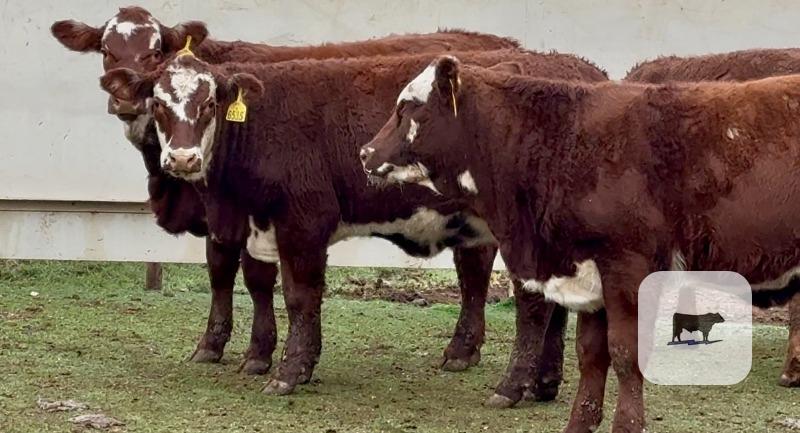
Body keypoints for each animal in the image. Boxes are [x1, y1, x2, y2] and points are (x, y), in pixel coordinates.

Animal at [51, 6, 521, 376]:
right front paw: (221, 346)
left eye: (154, 50)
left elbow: (252, 278)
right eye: (106, 50)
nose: (126, 102)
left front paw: (250, 352)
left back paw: (460, 350)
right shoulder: (229, 216)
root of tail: (506, 46)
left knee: (475, 270)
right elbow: (226, 273)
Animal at [98, 48, 608, 397]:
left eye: (208, 105)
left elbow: (300, 296)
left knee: (533, 304)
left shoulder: (303, 222)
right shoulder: (255, 225)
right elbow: (258, 284)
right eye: (158, 105)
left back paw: (512, 387)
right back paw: (542, 383)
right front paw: (259, 356)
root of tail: (578, 68)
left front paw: (290, 371)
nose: (182, 158)